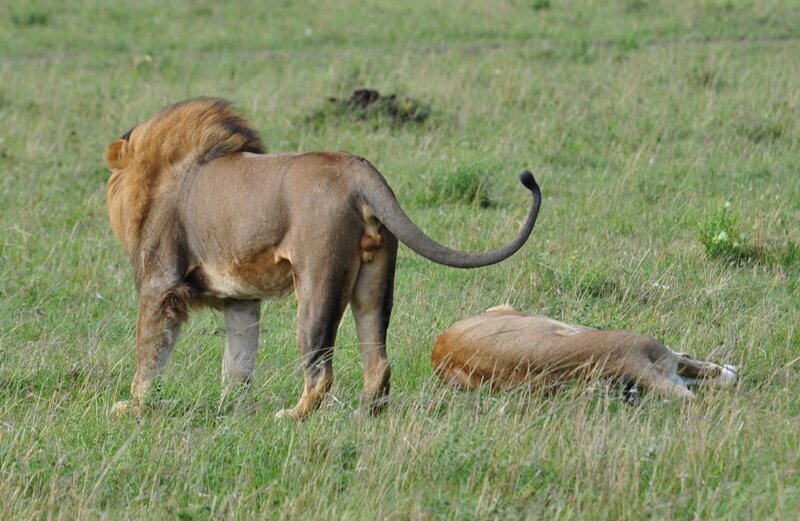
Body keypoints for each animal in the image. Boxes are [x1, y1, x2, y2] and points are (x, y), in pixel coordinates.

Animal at [106, 97, 540, 416]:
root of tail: (358, 171)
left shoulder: (161, 284)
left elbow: (150, 353)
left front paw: (134, 406)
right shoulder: (241, 299)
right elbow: (238, 359)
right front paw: (232, 408)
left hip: (317, 281)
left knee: (320, 371)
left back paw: (292, 416)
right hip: (374, 282)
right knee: (377, 361)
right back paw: (366, 413)